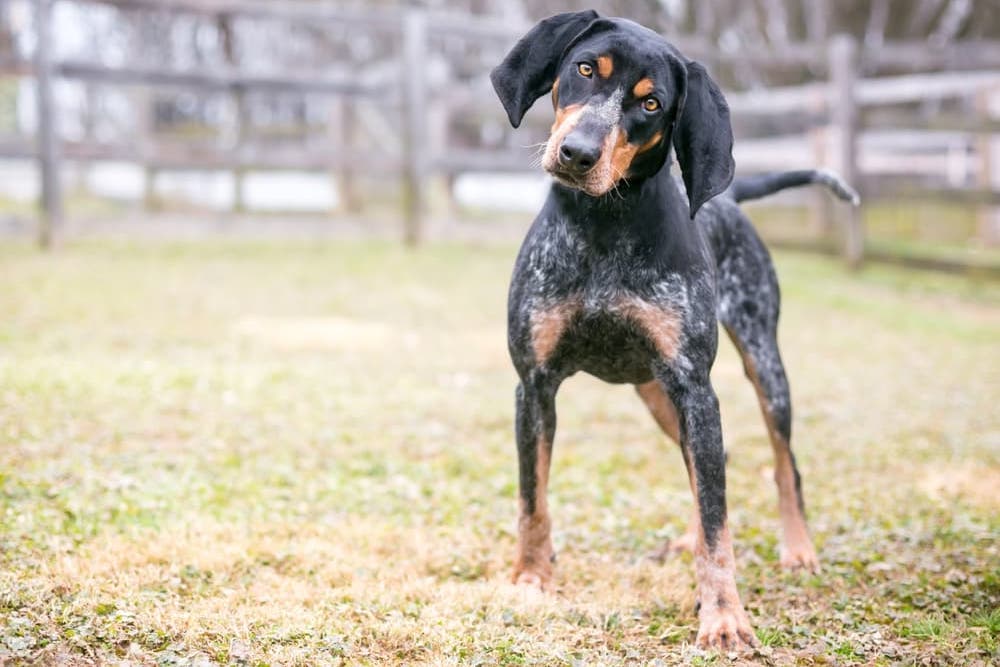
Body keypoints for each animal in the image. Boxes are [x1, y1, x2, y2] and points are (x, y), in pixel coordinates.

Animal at [488, 10, 856, 652]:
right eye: (585, 69)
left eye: (652, 103)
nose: (577, 153)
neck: (602, 225)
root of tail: (731, 198)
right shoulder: (533, 386)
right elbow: (533, 499)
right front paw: (531, 578)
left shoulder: (695, 388)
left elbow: (719, 523)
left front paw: (724, 615)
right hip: (657, 394)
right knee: (715, 463)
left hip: (762, 368)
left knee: (781, 464)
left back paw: (798, 549)